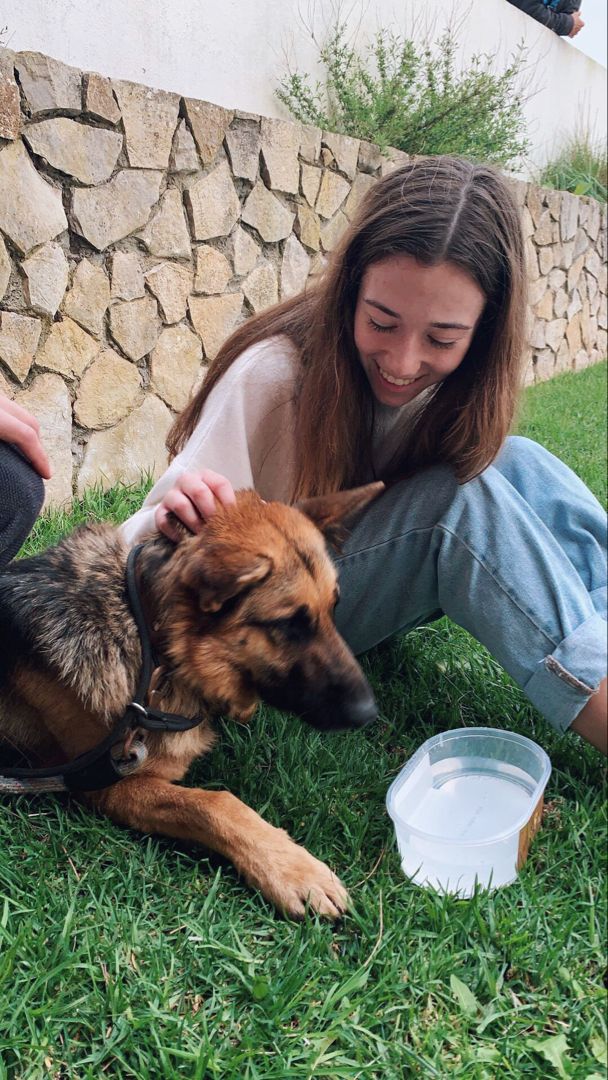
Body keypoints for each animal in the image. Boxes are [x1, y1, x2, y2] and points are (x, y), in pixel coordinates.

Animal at [0, 486, 380, 915]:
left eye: (333, 608)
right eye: (288, 624)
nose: (369, 712)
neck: (150, 639)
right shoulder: (109, 786)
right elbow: (215, 803)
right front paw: (291, 869)